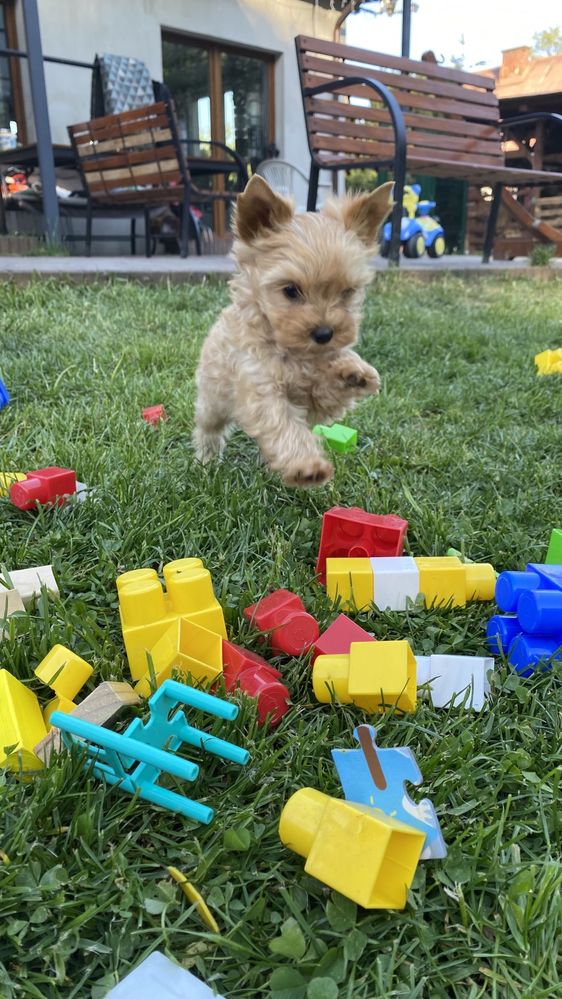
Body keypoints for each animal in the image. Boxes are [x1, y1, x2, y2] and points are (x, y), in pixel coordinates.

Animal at [195, 177, 392, 488]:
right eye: (290, 290)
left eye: (347, 292)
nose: (324, 334)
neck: (297, 355)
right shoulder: (260, 387)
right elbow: (282, 424)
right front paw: (307, 467)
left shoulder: (316, 405)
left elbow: (327, 390)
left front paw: (352, 371)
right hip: (213, 400)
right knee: (208, 430)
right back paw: (206, 461)